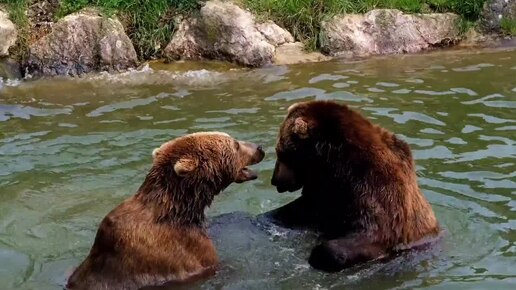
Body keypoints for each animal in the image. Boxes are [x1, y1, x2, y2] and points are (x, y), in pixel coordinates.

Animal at [268, 100, 442, 272]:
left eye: (281, 153)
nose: (275, 180)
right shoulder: (325, 190)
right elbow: (303, 208)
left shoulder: (374, 189)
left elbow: (372, 232)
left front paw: (319, 255)